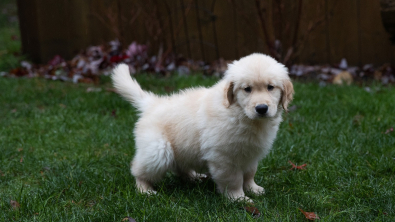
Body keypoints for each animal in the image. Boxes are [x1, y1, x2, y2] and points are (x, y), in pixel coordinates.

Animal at [111, 52, 294, 201]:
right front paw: (238, 198)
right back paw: (145, 190)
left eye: (271, 87)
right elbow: (233, 179)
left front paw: (253, 189)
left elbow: (249, 173)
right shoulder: (223, 157)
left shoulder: (250, 153)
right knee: (138, 170)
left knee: (180, 167)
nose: (262, 108)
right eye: (247, 89)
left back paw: (193, 178)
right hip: (157, 150)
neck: (239, 113)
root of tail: (153, 103)